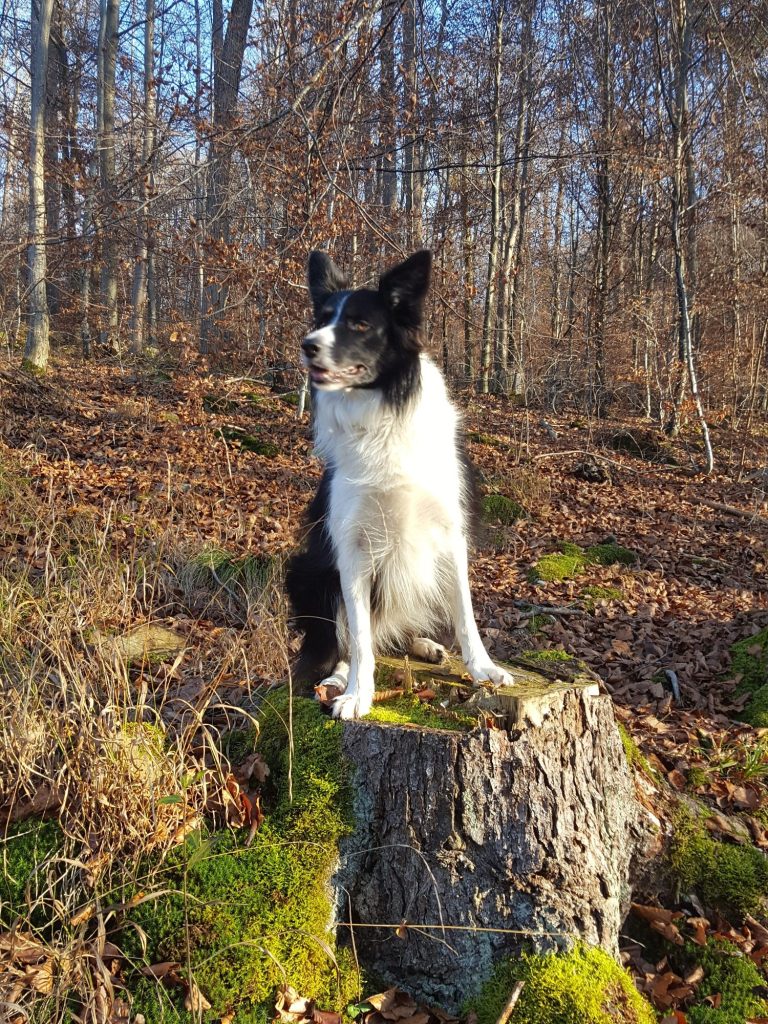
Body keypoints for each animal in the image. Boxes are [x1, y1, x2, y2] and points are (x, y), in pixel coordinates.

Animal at [285, 249, 513, 720]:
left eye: (359, 324)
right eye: (322, 317)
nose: (307, 344)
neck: (381, 414)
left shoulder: (450, 533)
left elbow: (465, 612)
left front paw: (483, 668)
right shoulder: (351, 545)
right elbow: (358, 635)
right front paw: (358, 693)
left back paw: (424, 645)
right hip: (305, 573)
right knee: (343, 641)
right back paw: (337, 678)